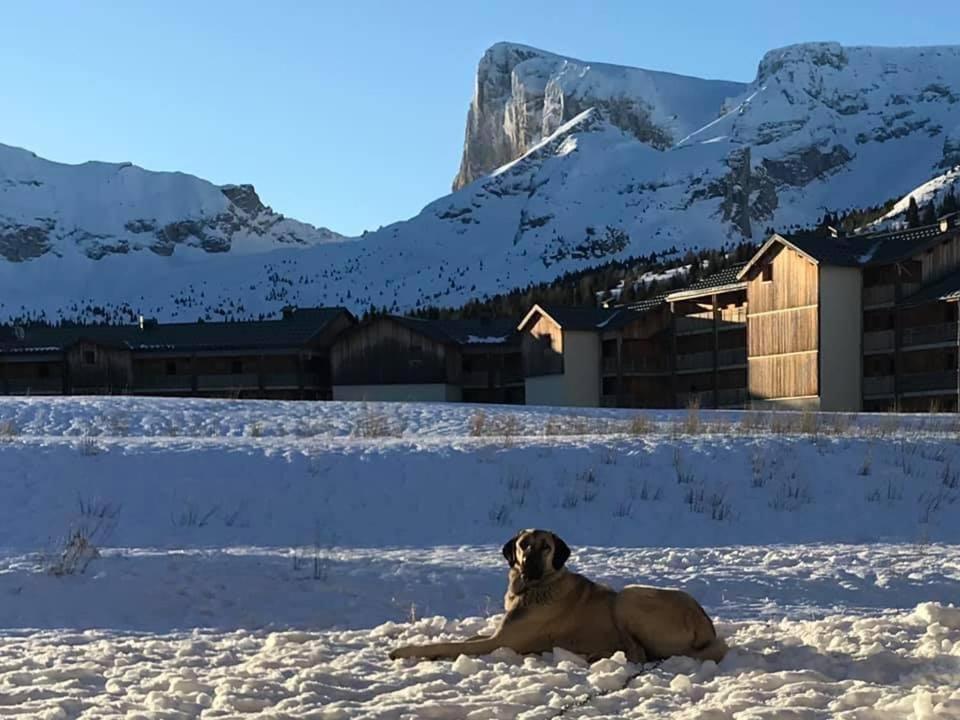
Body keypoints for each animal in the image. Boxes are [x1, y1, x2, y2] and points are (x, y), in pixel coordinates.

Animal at [386, 528, 724, 664]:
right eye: (523, 544)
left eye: (545, 547)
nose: (528, 564)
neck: (535, 588)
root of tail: (706, 625)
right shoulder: (498, 634)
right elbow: (467, 638)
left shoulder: (500, 642)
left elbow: (448, 644)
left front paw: (404, 651)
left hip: (627, 598)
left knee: (638, 652)